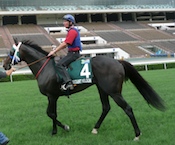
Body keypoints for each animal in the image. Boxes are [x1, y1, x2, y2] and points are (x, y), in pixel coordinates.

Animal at [3, 39, 165, 140]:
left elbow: (50, 113)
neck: (46, 67)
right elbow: (53, 113)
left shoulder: (51, 96)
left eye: (11, 51)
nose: (4, 65)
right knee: (106, 107)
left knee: (128, 109)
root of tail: (118, 62)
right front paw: (57, 130)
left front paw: (63, 128)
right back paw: (95, 129)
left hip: (113, 92)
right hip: (102, 89)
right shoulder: (54, 96)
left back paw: (137, 134)